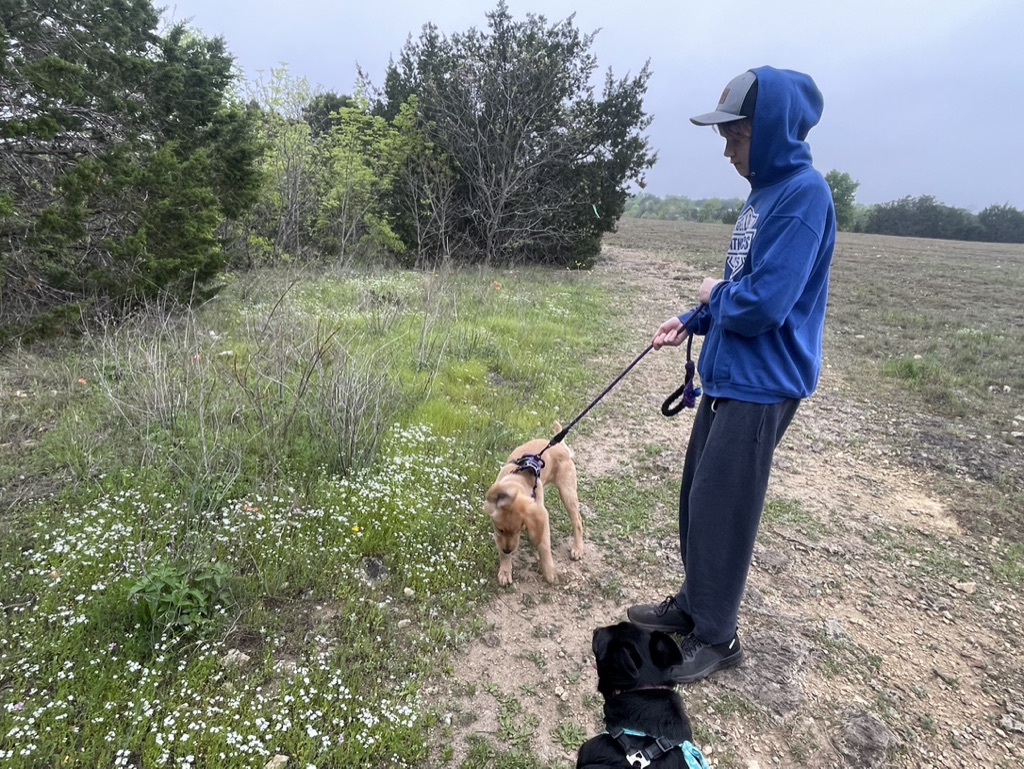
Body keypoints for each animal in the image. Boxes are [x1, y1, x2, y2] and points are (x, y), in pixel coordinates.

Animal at [484, 426, 583, 585]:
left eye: (518, 529)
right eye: (500, 529)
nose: (508, 550)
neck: (517, 479)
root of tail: (561, 446)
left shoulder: (542, 514)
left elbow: (544, 544)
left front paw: (549, 572)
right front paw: (505, 570)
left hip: (567, 493)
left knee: (577, 521)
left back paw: (578, 548)